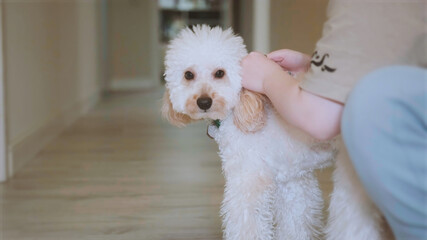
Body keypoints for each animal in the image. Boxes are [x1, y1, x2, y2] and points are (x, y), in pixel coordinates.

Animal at [162, 25, 336, 239]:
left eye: (220, 73)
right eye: (188, 75)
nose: (204, 102)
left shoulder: (248, 182)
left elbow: (246, 226)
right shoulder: (293, 182)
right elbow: (295, 225)